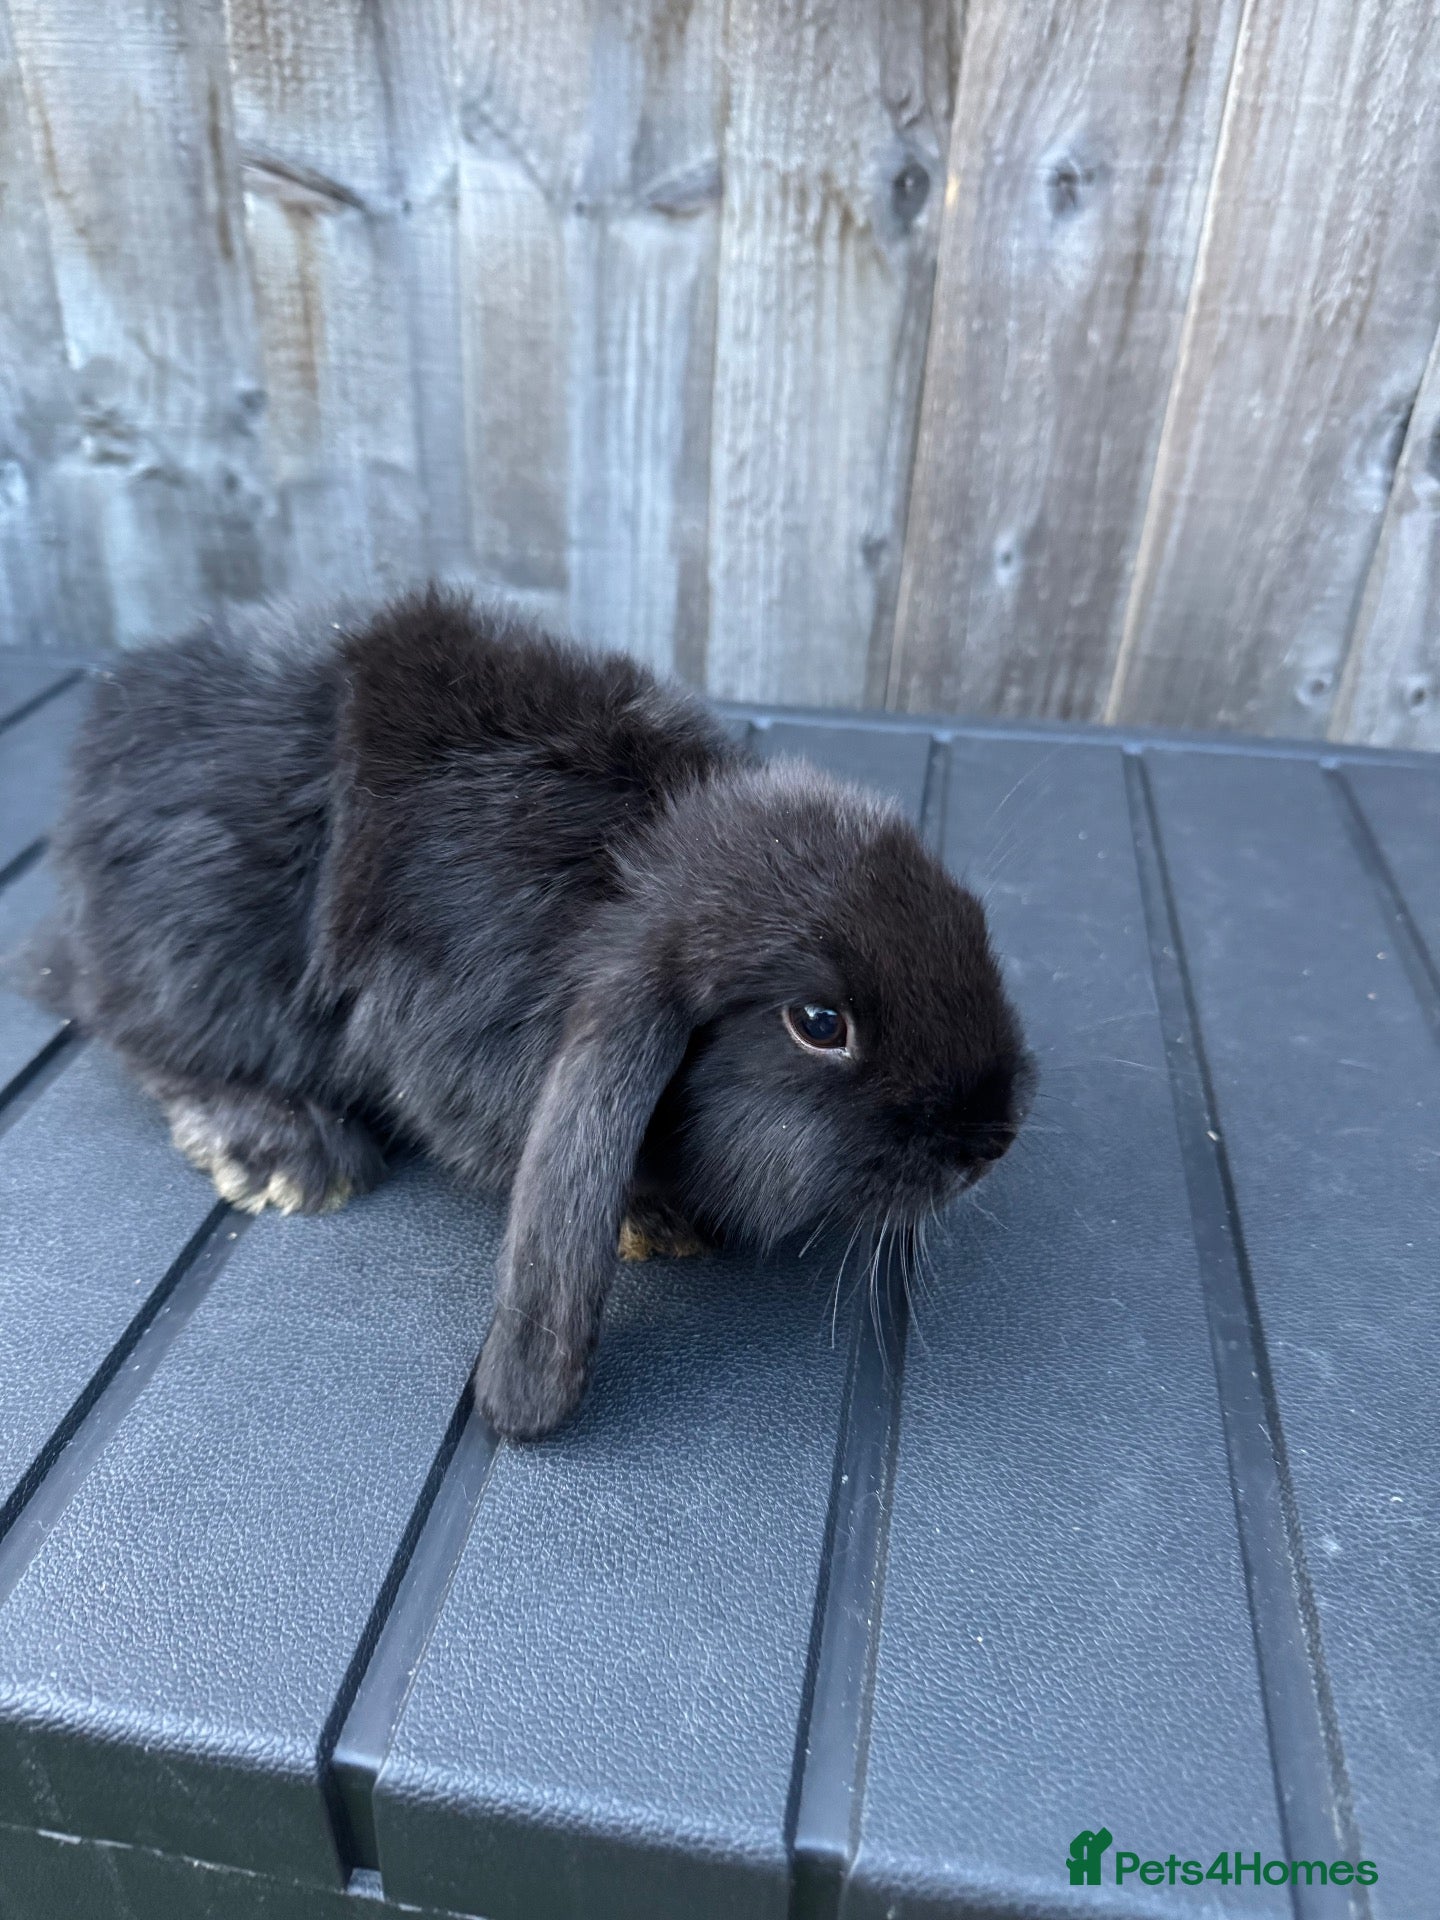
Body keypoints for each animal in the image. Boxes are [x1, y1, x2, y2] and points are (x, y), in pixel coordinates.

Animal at [39, 586, 1034, 1439]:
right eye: (821, 1023)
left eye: (972, 923)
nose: (991, 1141)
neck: (627, 874)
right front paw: (654, 1219)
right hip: (198, 957)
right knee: (137, 1032)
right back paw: (287, 1152)